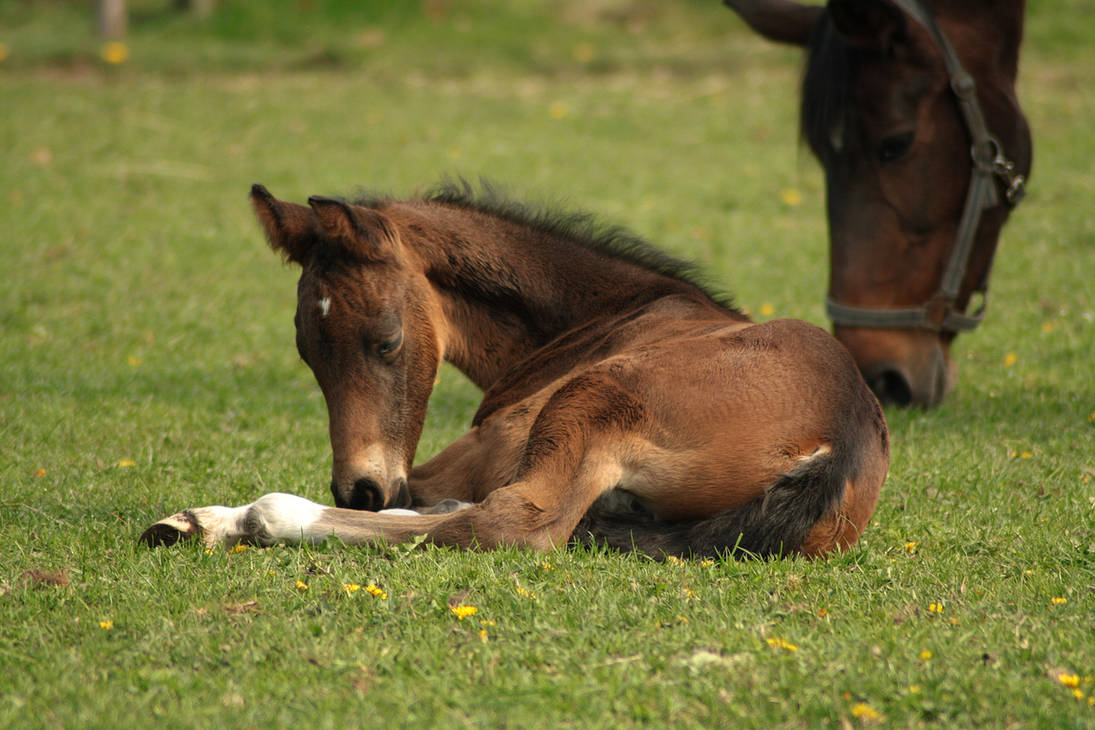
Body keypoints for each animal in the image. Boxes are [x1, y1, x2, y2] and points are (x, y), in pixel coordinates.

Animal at [139, 183, 889, 560]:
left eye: (386, 341)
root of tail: (843, 435)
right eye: (306, 351)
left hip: (591, 398)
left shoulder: (481, 449)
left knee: (511, 523)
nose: (361, 489)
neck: (616, 309)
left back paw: (239, 519)